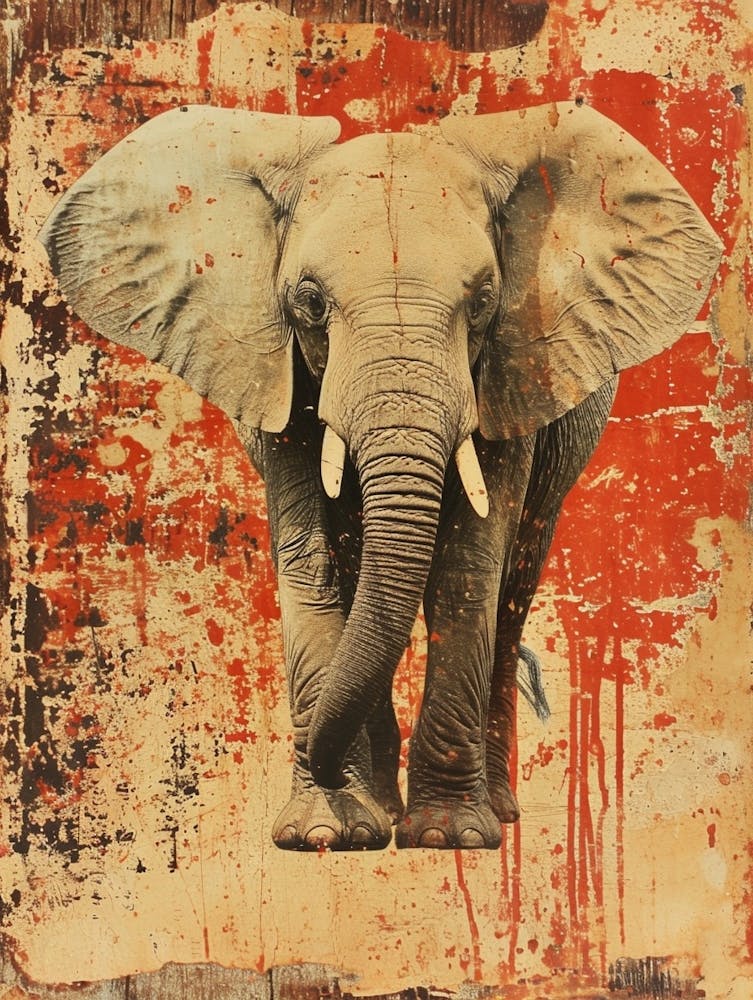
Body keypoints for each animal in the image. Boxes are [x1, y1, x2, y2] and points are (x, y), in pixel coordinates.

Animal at [39, 101, 721, 851]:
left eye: (484, 302)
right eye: (309, 302)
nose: (324, 767)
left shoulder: (512, 370)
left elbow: (466, 567)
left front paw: (449, 837)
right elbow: (312, 558)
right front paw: (326, 832)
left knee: (512, 587)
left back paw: (490, 810)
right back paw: (382, 811)